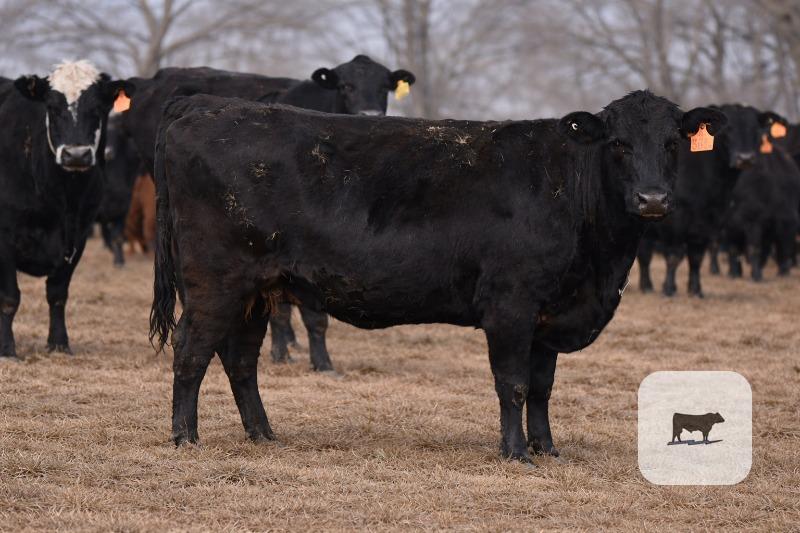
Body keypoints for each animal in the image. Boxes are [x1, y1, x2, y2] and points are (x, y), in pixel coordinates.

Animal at [0, 60, 133, 357]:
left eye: (98, 108)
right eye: (52, 107)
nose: (76, 155)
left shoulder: (78, 235)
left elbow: (58, 293)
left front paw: (59, 343)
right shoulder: (4, 237)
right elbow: (9, 297)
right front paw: (6, 348)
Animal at [149, 91, 724, 463]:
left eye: (673, 143)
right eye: (618, 144)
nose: (653, 199)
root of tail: (202, 109)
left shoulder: (549, 313)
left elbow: (542, 388)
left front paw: (548, 448)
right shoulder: (510, 305)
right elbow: (513, 384)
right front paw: (516, 453)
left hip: (257, 289)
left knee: (240, 360)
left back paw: (263, 435)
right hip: (216, 282)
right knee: (190, 350)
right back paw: (185, 438)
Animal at [637, 104, 771, 297]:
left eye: (756, 130)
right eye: (728, 129)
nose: (745, 158)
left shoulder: (708, 222)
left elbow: (696, 257)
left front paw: (695, 290)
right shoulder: (675, 220)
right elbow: (674, 255)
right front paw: (669, 288)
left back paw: (646, 286)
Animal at [724, 114, 800, 280]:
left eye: (756, 130)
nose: (744, 158)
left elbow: (759, 250)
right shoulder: (740, 223)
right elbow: (744, 249)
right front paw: (745, 274)